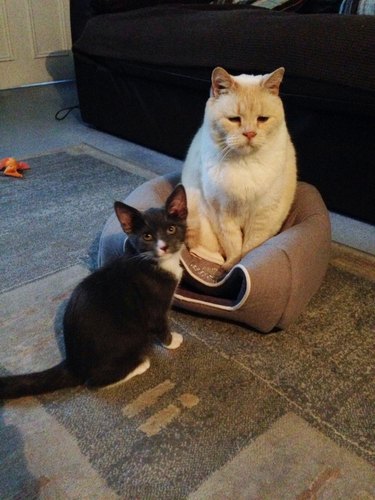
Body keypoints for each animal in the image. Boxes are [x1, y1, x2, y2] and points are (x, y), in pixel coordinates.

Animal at [182, 66, 296, 272]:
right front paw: (228, 268)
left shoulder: (262, 218)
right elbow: (233, 248)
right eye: (234, 119)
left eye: (263, 119)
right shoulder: (223, 216)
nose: (250, 133)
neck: (244, 164)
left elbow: (248, 250)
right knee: (198, 246)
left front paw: (237, 267)